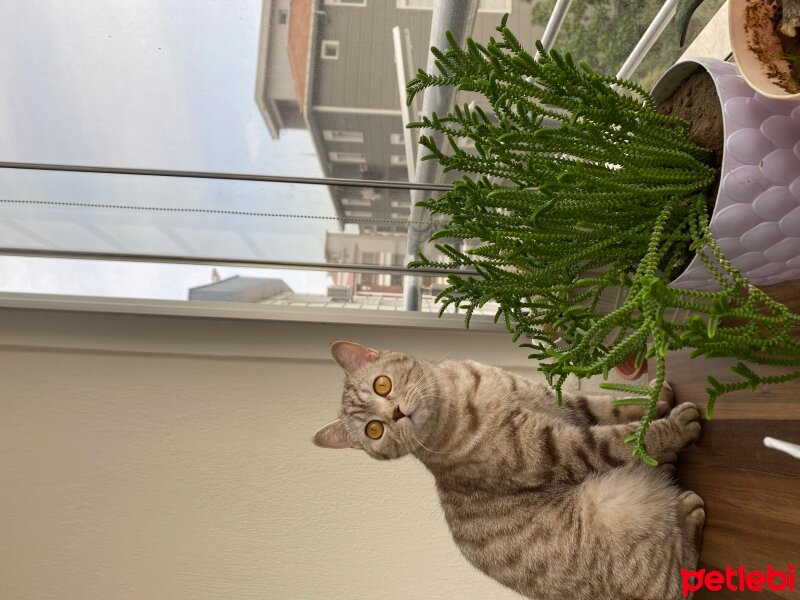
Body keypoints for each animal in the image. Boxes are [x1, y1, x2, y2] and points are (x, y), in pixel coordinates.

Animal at [316, 340, 704, 596]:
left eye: (382, 384)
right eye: (374, 430)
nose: (394, 414)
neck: (461, 397)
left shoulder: (560, 402)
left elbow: (607, 408)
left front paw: (655, 397)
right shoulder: (554, 449)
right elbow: (618, 439)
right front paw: (672, 428)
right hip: (611, 507)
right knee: (678, 580)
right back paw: (688, 512)